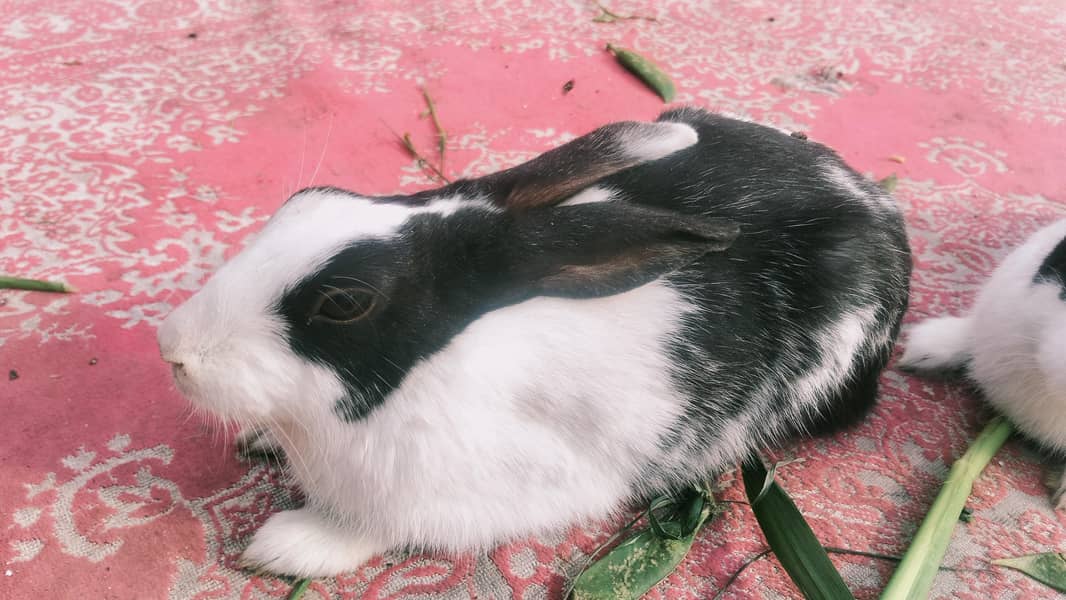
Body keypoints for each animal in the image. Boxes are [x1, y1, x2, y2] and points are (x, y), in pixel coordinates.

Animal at [157, 107, 912, 577]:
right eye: (304, 199)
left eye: (344, 303)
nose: (173, 350)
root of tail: (878, 206)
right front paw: (260, 439)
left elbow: (378, 526)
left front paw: (287, 547)